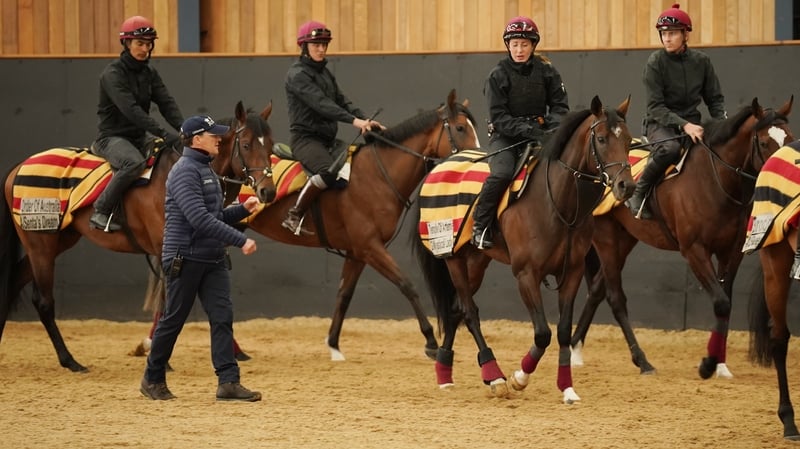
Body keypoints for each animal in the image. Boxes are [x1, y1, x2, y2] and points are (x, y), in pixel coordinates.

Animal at [0, 101, 277, 372]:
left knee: (12, 285)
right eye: (246, 144)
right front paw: (158, 355)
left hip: (56, 242)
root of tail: (20, 166)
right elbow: (168, 305)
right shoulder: (169, 252)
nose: (268, 191)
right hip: (41, 245)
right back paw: (70, 361)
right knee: (44, 302)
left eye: (270, 145)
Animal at [413, 96, 635, 401]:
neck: (556, 203)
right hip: (453, 258)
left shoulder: (573, 272)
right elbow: (542, 333)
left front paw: (567, 388)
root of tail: (439, 165)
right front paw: (519, 377)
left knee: (457, 308)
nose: (627, 186)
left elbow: (562, 331)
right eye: (601, 139)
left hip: (476, 261)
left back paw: (445, 372)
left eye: (628, 140)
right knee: (469, 312)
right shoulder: (526, 274)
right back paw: (493, 375)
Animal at [570, 97, 794, 378]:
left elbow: (727, 302)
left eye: (789, 137)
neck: (714, 180)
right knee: (614, 297)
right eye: (764, 142)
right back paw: (641, 361)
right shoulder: (694, 251)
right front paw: (708, 364)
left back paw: (574, 348)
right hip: (607, 238)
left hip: (625, 239)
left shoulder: (731, 252)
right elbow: (721, 302)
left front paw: (720, 364)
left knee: (597, 290)